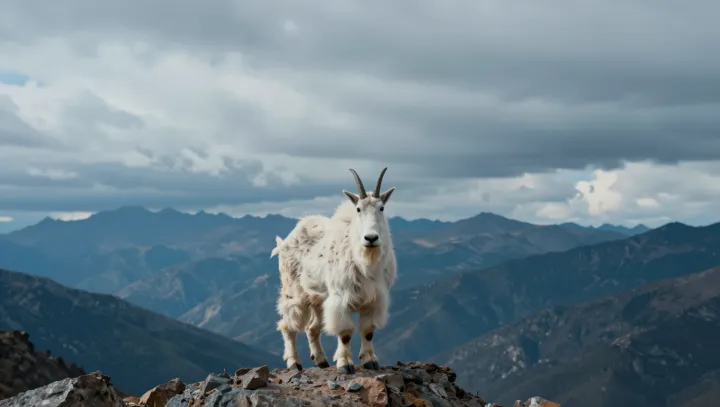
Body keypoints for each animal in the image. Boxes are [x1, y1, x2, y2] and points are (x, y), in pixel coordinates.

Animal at [270, 167, 397, 374]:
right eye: (358, 209)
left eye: (382, 208)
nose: (371, 238)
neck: (365, 261)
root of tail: (284, 243)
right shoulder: (341, 298)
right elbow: (345, 333)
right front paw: (345, 364)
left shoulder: (374, 300)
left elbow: (368, 331)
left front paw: (370, 361)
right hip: (294, 293)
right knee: (287, 325)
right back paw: (294, 362)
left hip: (316, 298)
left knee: (312, 328)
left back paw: (321, 361)